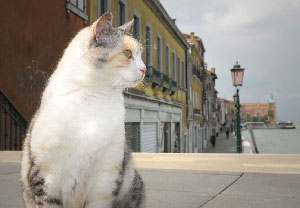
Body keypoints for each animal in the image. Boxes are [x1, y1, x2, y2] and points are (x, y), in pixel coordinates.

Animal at [20, 11, 146, 208]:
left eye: (141, 55)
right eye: (128, 53)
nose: (144, 69)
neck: (94, 97)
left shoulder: (105, 181)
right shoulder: (46, 178)